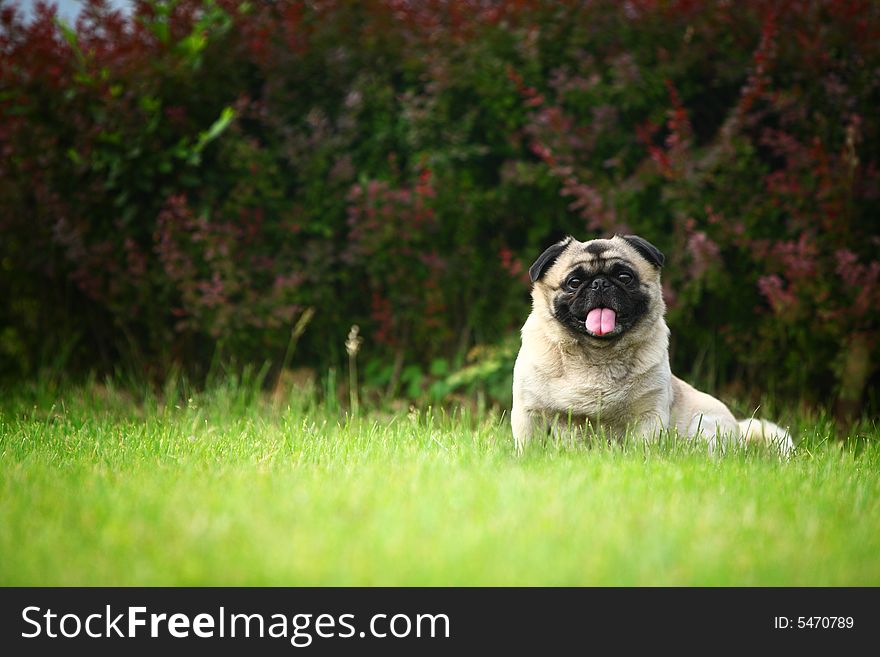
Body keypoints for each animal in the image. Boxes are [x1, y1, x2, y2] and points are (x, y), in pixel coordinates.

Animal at [508, 233, 792, 454]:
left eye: (625, 277)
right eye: (574, 282)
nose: (600, 283)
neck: (597, 355)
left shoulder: (648, 414)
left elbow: (643, 447)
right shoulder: (529, 412)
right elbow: (530, 446)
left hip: (704, 426)